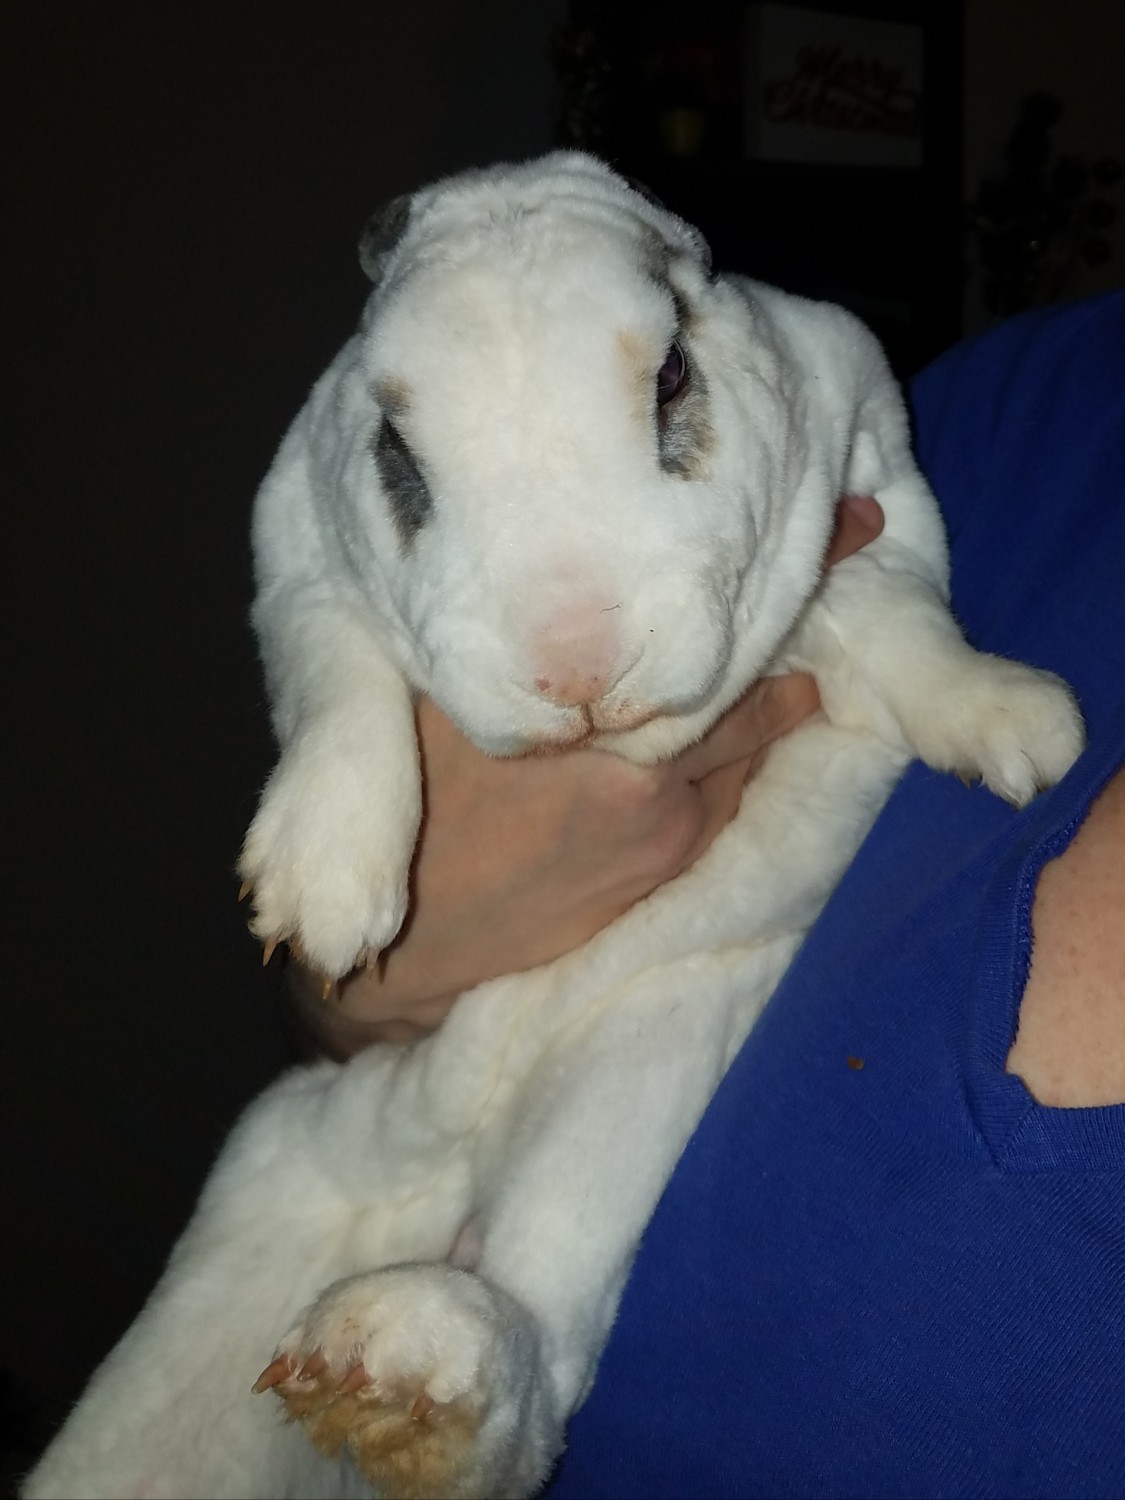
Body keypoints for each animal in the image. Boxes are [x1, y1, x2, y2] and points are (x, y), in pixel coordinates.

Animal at [24, 152, 1084, 1500]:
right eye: (396, 447)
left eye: (671, 374)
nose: (576, 668)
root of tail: (431, 1184)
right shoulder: (295, 557)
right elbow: (340, 680)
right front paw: (322, 895)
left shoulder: (877, 476)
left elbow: (892, 616)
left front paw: (1022, 727)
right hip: (263, 1200)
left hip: (627, 1094)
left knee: (541, 1350)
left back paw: (407, 1367)